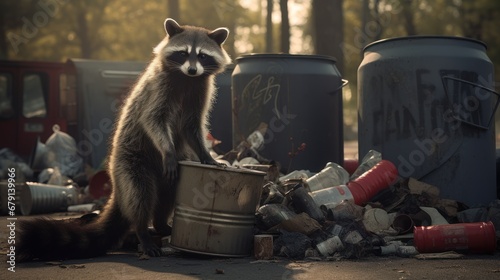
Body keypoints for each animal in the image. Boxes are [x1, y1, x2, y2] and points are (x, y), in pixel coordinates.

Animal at [17, 18, 232, 262]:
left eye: (203, 56)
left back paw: (160, 223)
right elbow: (152, 119)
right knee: (140, 195)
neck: (185, 78)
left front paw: (206, 155)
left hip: (165, 174)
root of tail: (118, 191)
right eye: (183, 53)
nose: (193, 69)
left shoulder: (199, 90)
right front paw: (167, 149)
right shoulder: (159, 88)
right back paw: (142, 231)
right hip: (130, 164)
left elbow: (191, 127)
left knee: (168, 194)